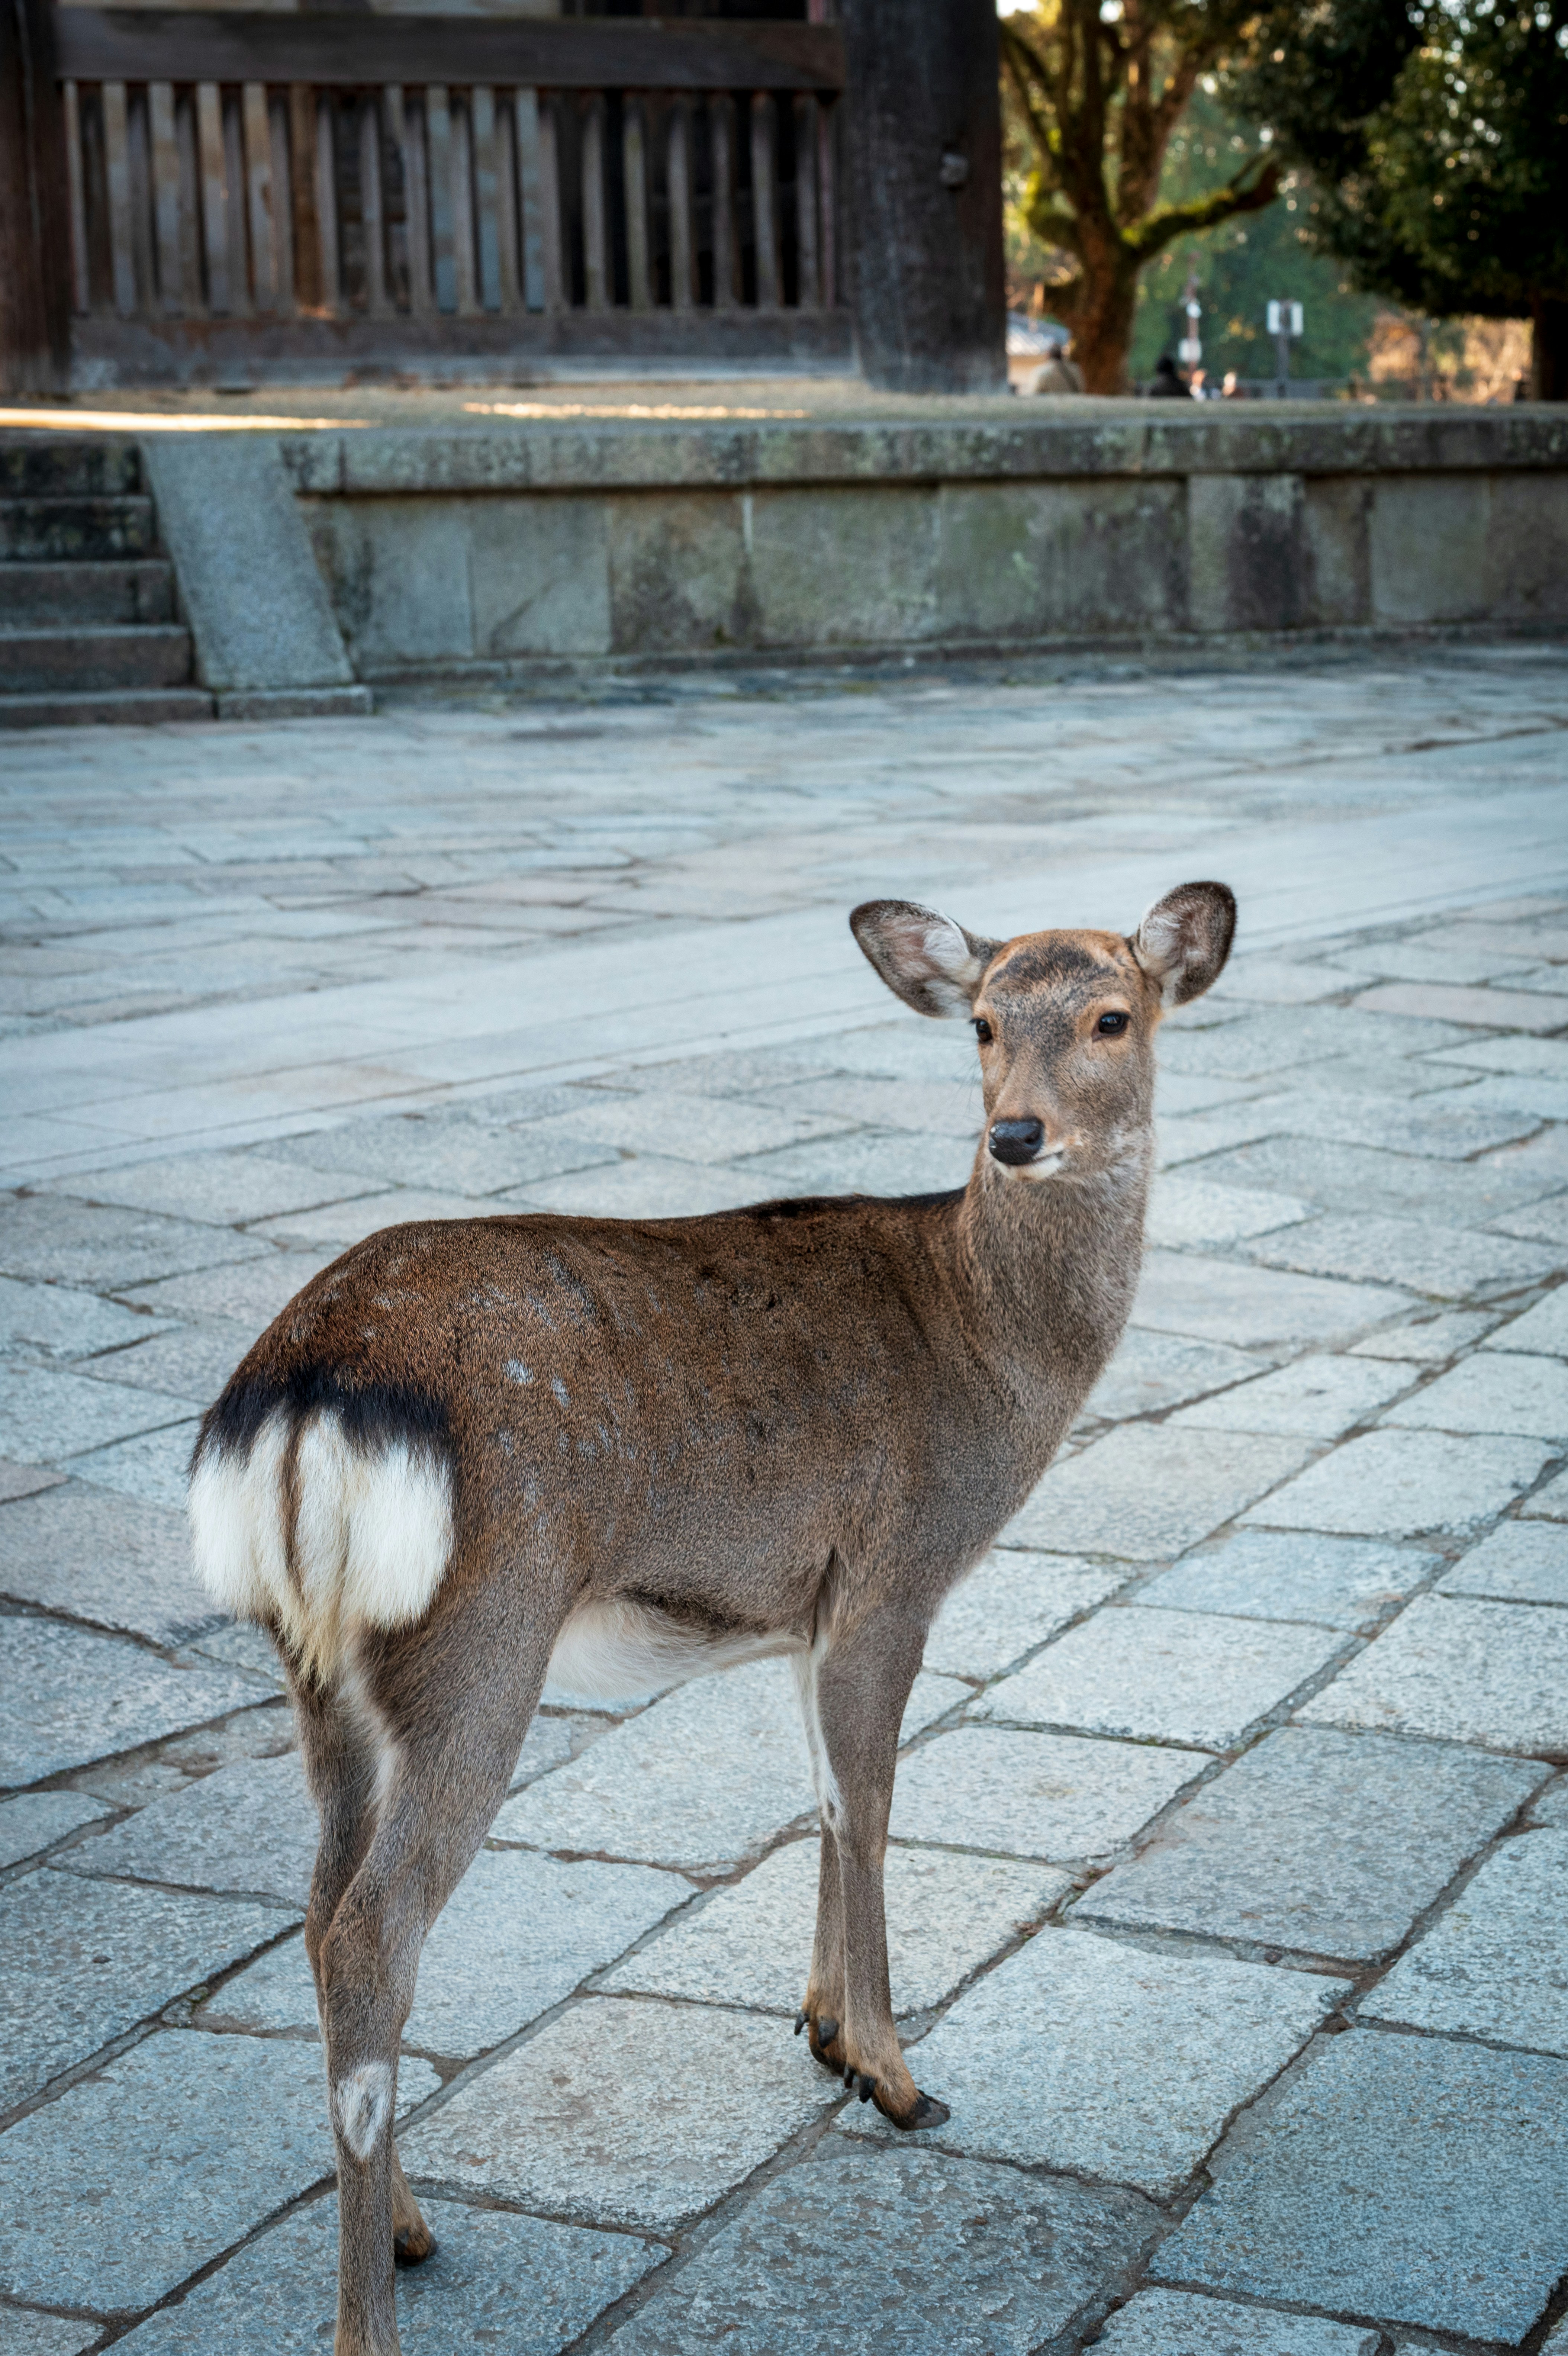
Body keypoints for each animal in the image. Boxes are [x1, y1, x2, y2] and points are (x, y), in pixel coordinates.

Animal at [188, 880, 1235, 2356]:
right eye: (980, 1023)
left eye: (1110, 1016)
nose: (1017, 1135)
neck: (993, 1347)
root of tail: (288, 1396)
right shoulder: (894, 1569)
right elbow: (871, 1803)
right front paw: (895, 2078)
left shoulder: (806, 1606)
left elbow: (819, 1799)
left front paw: (821, 2031)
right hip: (480, 1640)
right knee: (372, 1928)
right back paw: (369, 2316)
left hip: (320, 1671)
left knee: (316, 1905)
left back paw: (404, 2224)